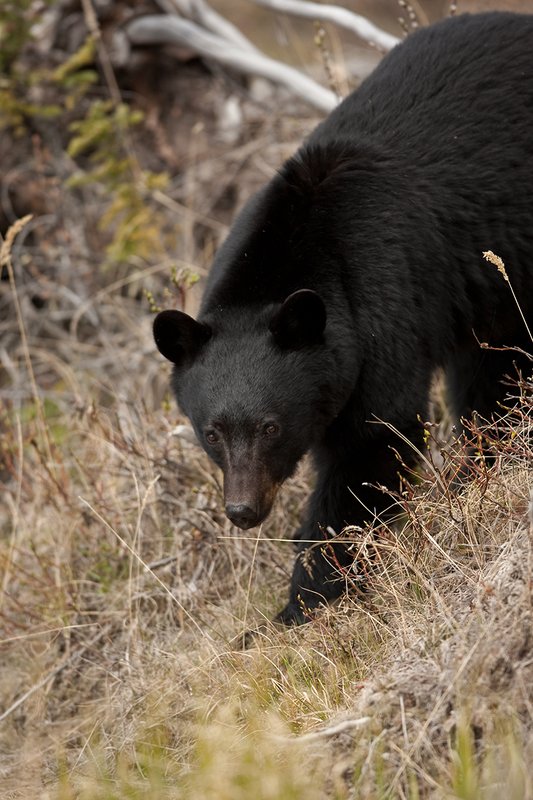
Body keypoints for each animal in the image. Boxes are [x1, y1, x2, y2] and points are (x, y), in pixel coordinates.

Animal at [153, 12, 533, 626]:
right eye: (211, 431)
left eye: (271, 426)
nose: (243, 510)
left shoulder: (384, 301)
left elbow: (373, 440)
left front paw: (306, 602)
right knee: (492, 371)